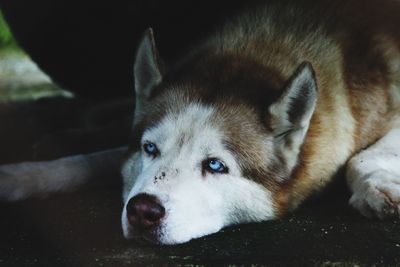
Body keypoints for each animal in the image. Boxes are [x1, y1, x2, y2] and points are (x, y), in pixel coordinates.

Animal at [0, 0, 400, 246]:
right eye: (149, 148)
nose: (142, 211)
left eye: (216, 165)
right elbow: (92, 161)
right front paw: (21, 177)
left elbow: (359, 158)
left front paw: (376, 187)